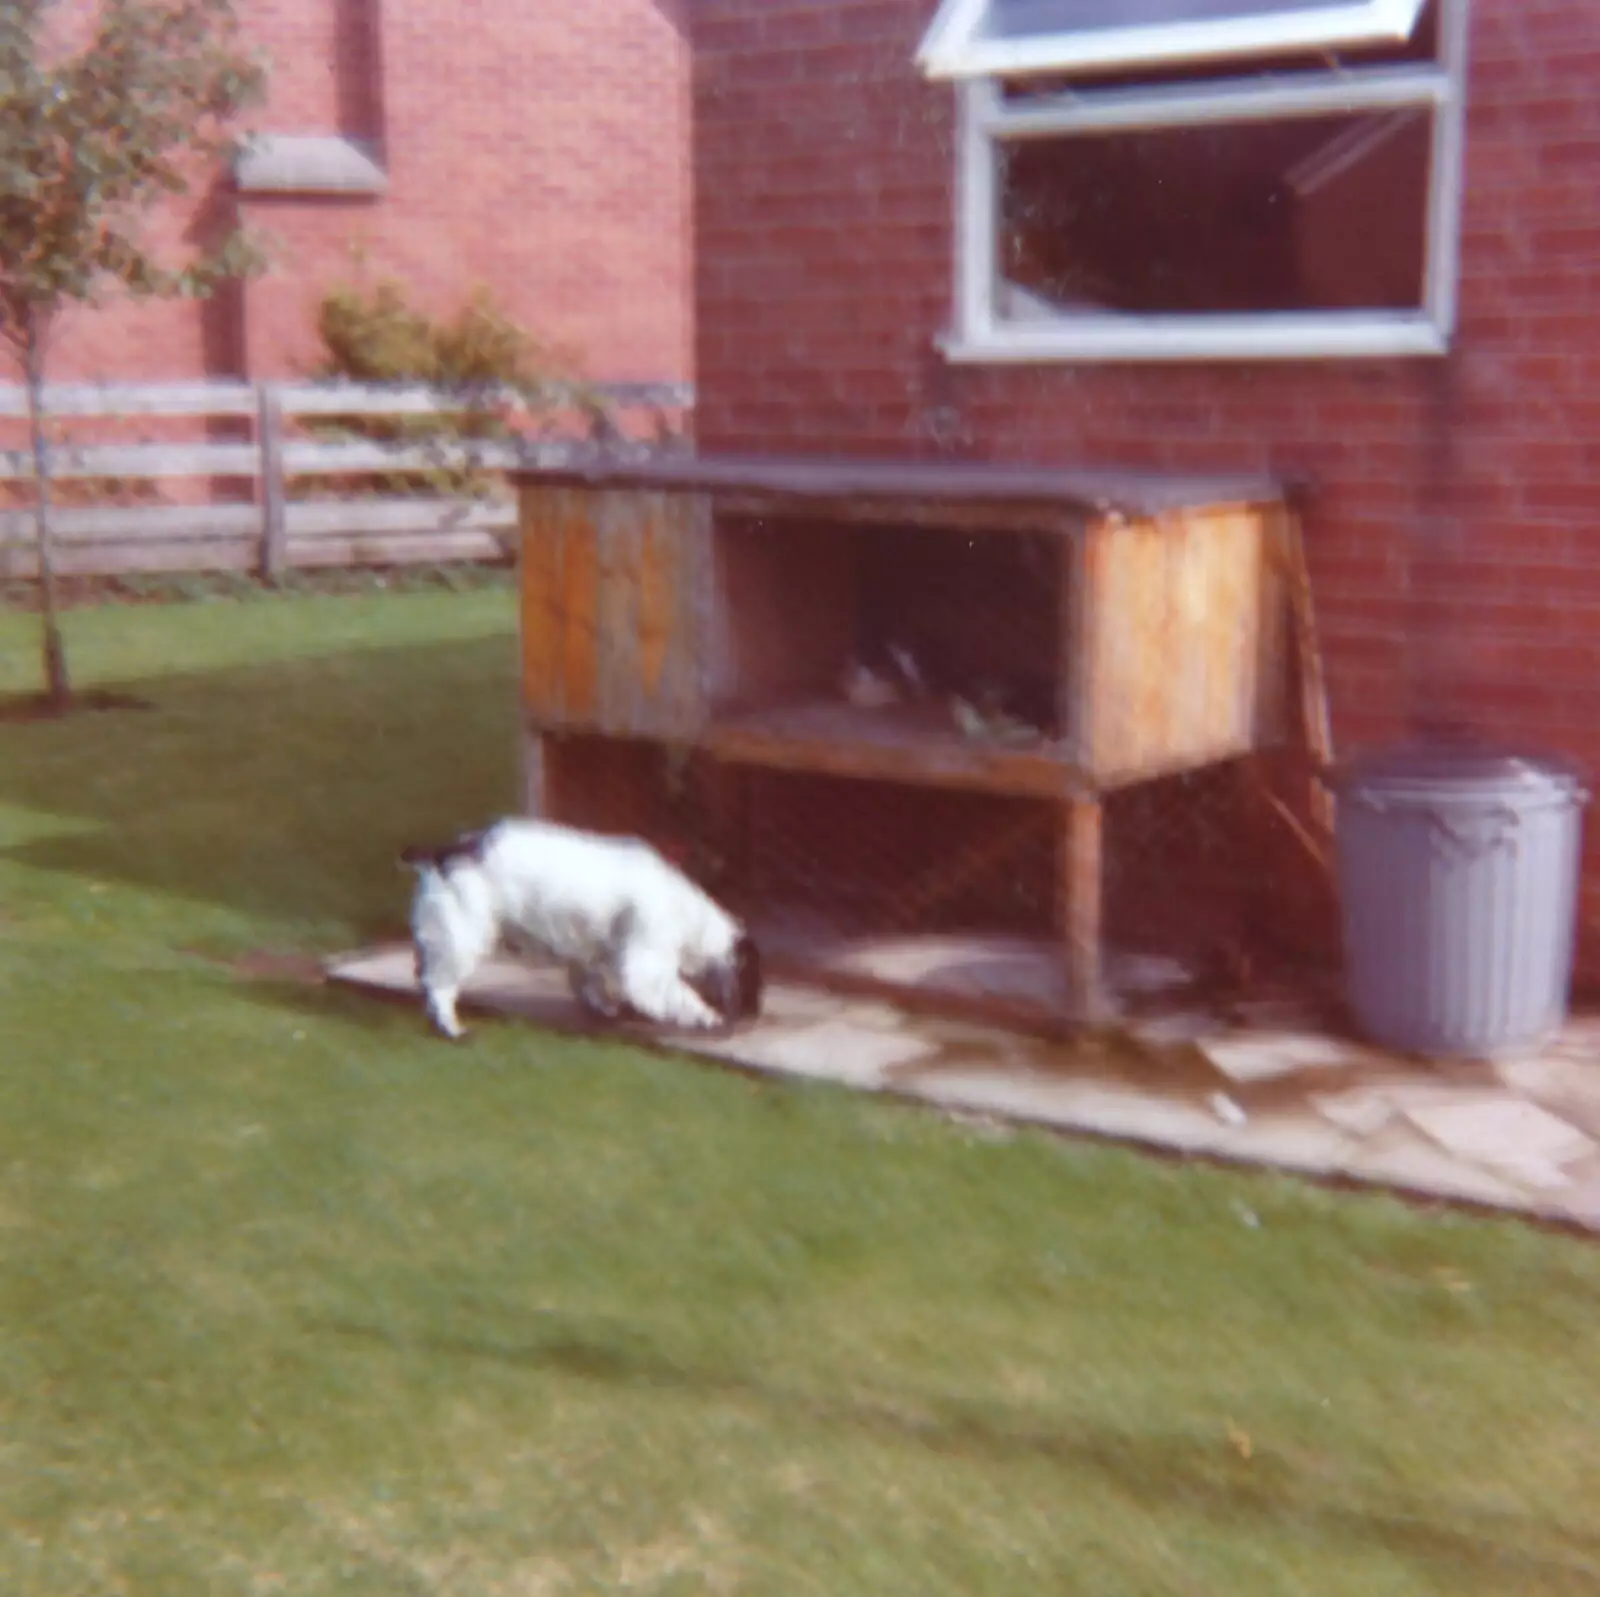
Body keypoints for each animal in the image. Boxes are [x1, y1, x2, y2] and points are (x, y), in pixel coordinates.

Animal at [406, 819, 768, 1043]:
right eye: (755, 978)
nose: (754, 1013)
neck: (689, 913)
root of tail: (441, 855)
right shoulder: (648, 960)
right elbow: (678, 994)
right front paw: (705, 1016)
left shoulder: (594, 950)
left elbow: (589, 980)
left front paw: (602, 1006)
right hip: (464, 938)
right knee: (439, 985)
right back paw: (452, 1028)